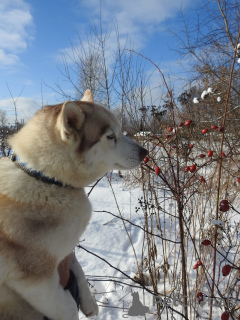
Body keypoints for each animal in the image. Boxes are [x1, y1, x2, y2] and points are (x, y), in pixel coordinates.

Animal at [0, 90, 146, 320]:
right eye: (110, 136)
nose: (145, 152)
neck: (46, 178)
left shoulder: (67, 252)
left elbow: (78, 268)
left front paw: (89, 302)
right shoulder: (35, 281)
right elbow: (68, 305)